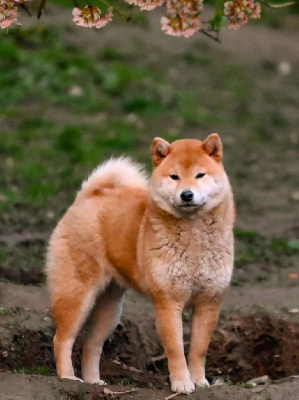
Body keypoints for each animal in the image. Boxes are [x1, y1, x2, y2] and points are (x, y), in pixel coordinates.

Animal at [46, 134, 234, 394]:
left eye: (200, 175)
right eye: (174, 176)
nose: (186, 195)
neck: (194, 237)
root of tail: (90, 194)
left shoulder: (209, 302)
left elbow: (198, 349)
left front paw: (200, 381)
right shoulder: (168, 303)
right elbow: (176, 350)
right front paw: (182, 383)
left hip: (110, 309)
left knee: (91, 344)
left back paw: (93, 382)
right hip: (76, 296)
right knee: (62, 339)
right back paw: (68, 378)